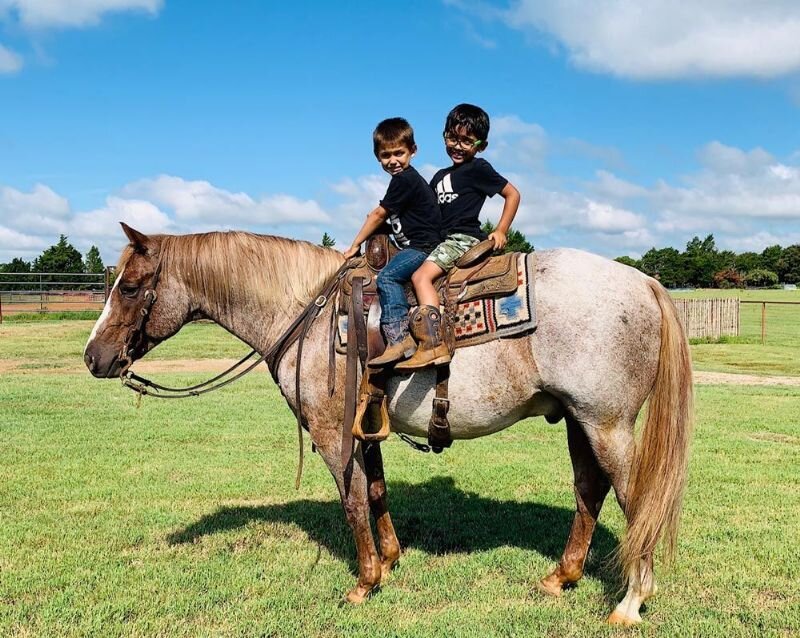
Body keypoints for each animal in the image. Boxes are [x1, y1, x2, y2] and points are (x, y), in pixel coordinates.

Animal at [84, 223, 693, 625]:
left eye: (130, 288)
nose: (93, 357)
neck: (306, 314)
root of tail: (644, 282)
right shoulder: (365, 425)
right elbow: (376, 490)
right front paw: (392, 559)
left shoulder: (332, 431)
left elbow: (352, 499)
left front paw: (364, 582)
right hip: (577, 419)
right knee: (590, 490)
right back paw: (561, 577)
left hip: (607, 423)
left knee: (635, 500)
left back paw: (630, 603)